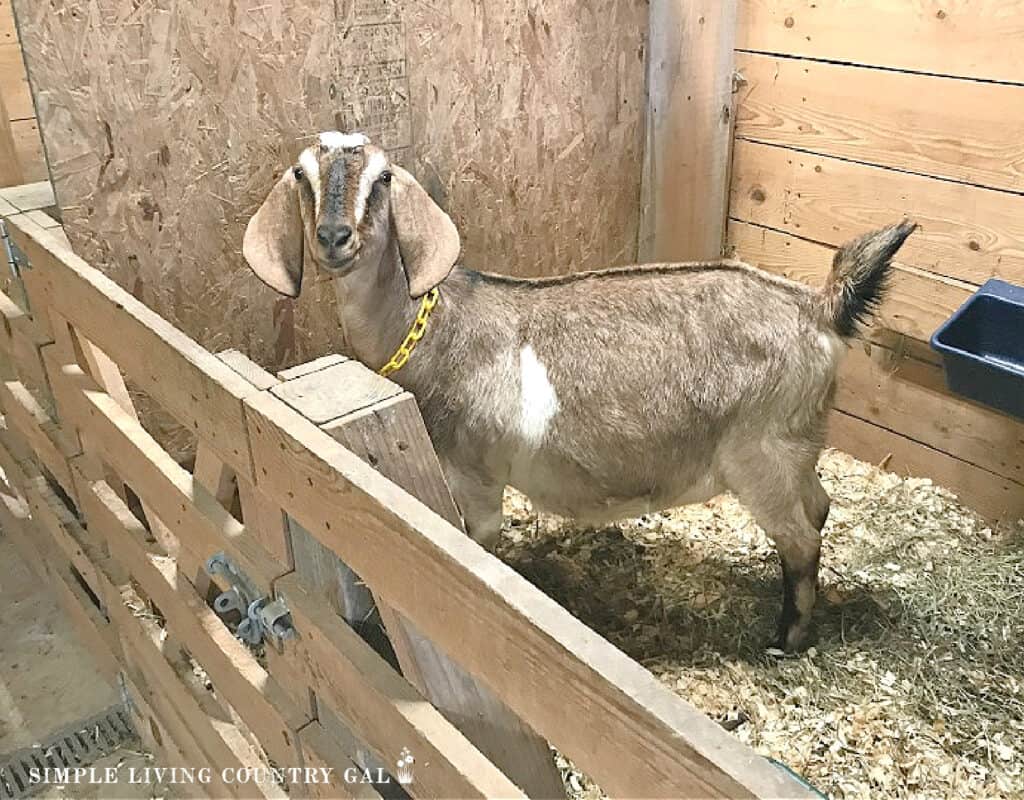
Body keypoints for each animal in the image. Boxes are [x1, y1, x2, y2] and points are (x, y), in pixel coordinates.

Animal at [243, 131, 917, 647]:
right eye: (302, 174)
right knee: (820, 506)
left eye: (382, 178)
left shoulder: (475, 470)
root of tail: (817, 306)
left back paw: (786, 639)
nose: (334, 238)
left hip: (760, 454)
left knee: (802, 539)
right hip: (797, 445)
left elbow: (478, 544)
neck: (431, 324)